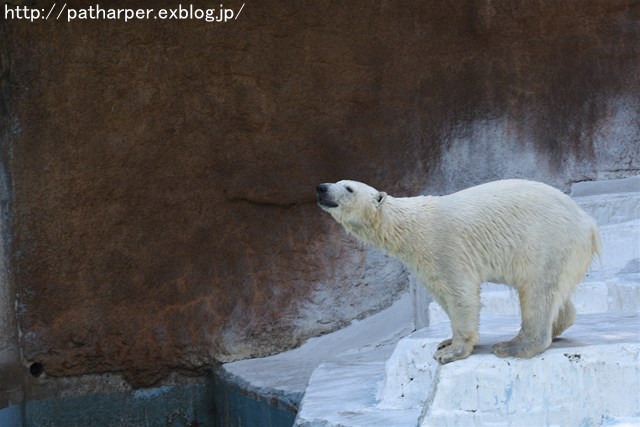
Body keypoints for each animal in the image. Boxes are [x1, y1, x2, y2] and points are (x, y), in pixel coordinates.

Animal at [318, 181, 604, 364]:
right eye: (336, 181)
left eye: (348, 187)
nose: (320, 187)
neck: (408, 227)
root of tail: (589, 223)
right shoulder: (423, 261)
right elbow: (443, 295)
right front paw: (446, 341)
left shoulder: (445, 247)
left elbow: (460, 294)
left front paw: (452, 352)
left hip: (546, 241)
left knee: (537, 291)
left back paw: (513, 345)